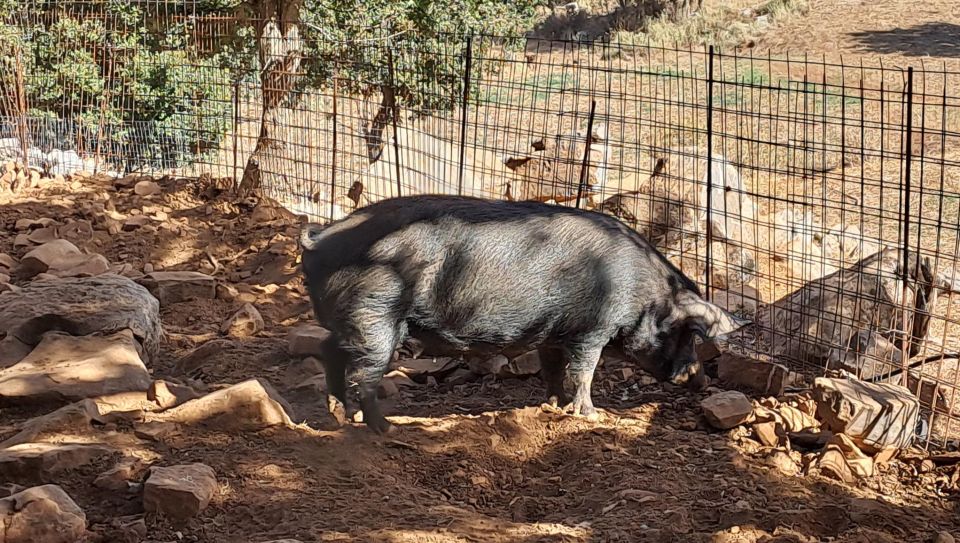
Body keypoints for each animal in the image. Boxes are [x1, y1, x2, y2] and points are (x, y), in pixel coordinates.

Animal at [300, 196, 752, 434]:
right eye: (687, 332)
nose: (696, 378)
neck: (644, 292)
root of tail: (321, 237)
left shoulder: (555, 332)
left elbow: (553, 370)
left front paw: (552, 405)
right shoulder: (593, 329)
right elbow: (584, 371)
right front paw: (590, 414)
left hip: (352, 320)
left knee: (329, 351)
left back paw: (338, 416)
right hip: (375, 314)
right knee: (364, 372)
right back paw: (383, 427)